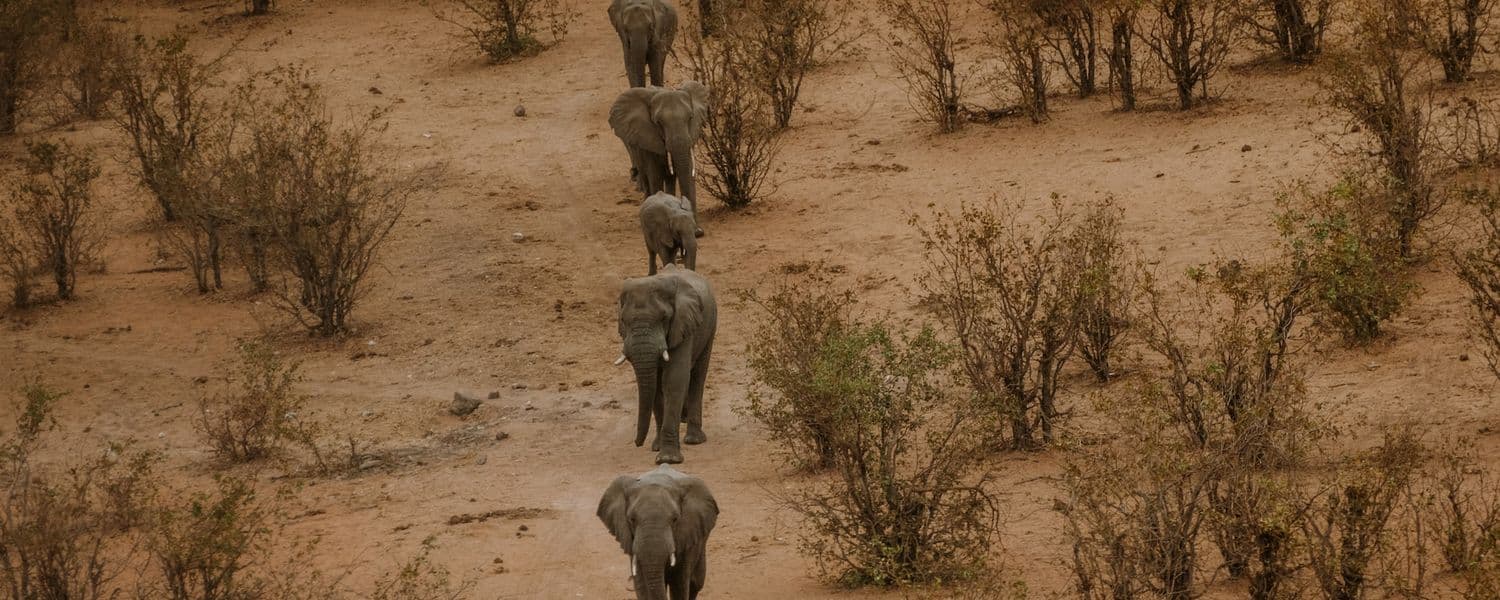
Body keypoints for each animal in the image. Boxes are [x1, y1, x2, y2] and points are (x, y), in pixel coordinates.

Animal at [609, 82, 708, 238]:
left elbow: (687, 173)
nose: (699, 232)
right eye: (658, 123)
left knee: (670, 178)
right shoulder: (647, 138)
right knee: (647, 178)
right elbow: (655, 176)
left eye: (690, 118)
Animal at [614, 265, 716, 464]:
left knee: (698, 376)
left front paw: (668, 459)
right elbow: (656, 384)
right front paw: (657, 448)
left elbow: (673, 379)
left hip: (711, 325)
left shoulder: (682, 324)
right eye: (624, 321)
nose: (637, 443)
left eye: (663, 318)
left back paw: (694, 440)